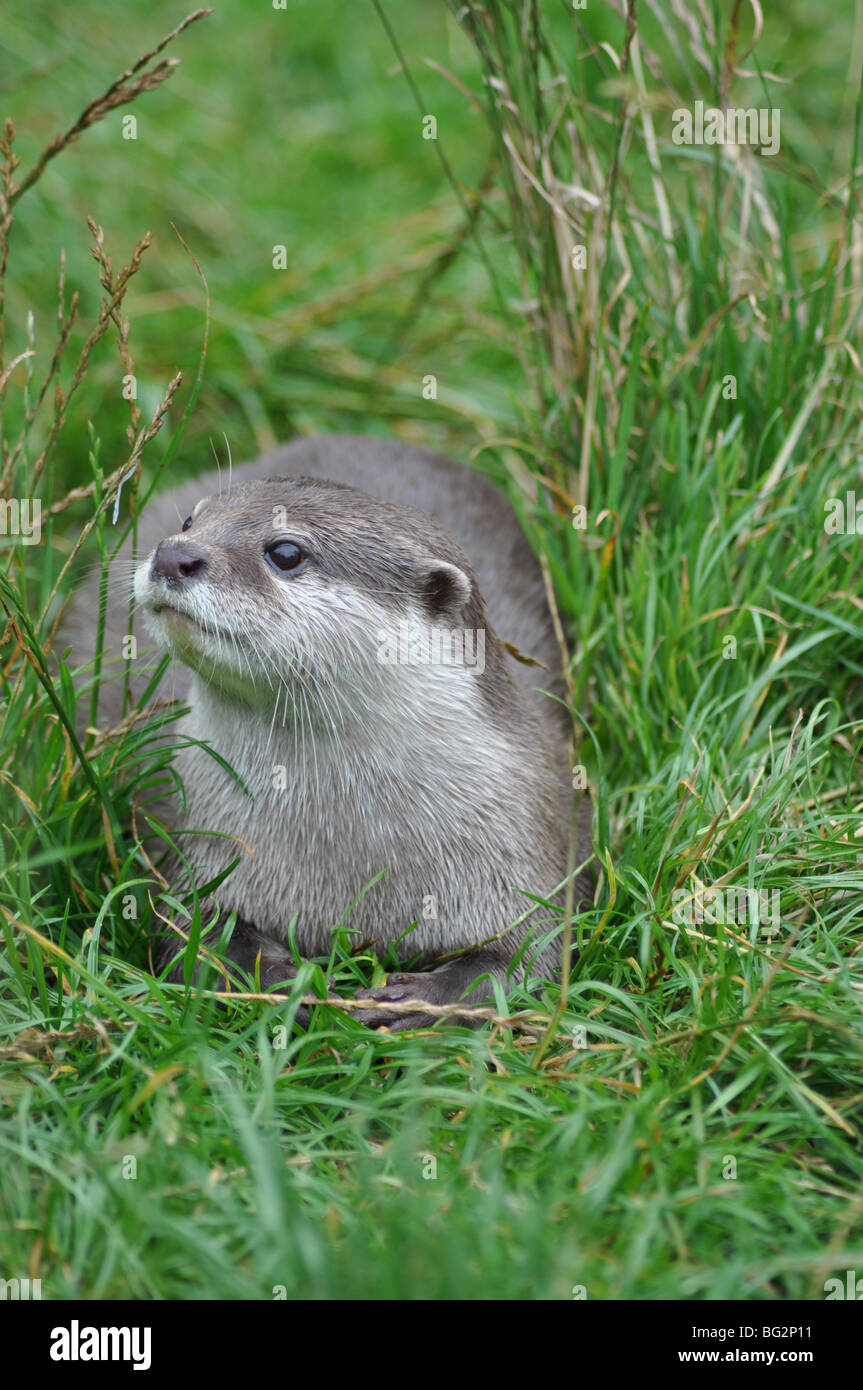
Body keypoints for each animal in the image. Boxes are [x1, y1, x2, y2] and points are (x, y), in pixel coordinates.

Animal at [64, 435, 592, 1027]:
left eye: (286, 552)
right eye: (190, 519)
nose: (173, 553)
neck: (353, 859)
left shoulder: (529, 840)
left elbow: (529, 959)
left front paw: (416, 1001)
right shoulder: (202, 844)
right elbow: (194, 937)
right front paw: (292, 986)